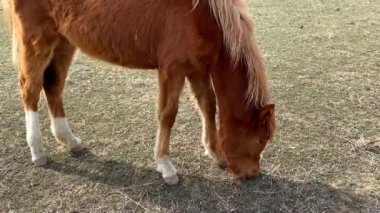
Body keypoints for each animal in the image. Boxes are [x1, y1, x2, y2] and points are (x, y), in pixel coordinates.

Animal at [2, 0, 276, 185]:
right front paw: (165, 165)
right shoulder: (173, 69)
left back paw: (70, 141)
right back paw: (37, 151)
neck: (205, 15)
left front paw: (214, 152)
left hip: (64, 41)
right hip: (36, 41)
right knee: (30, 90)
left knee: (53, 85)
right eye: (262, 139)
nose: (252, 173)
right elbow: (168, 115)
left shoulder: (197, 68)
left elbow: (208, 106)